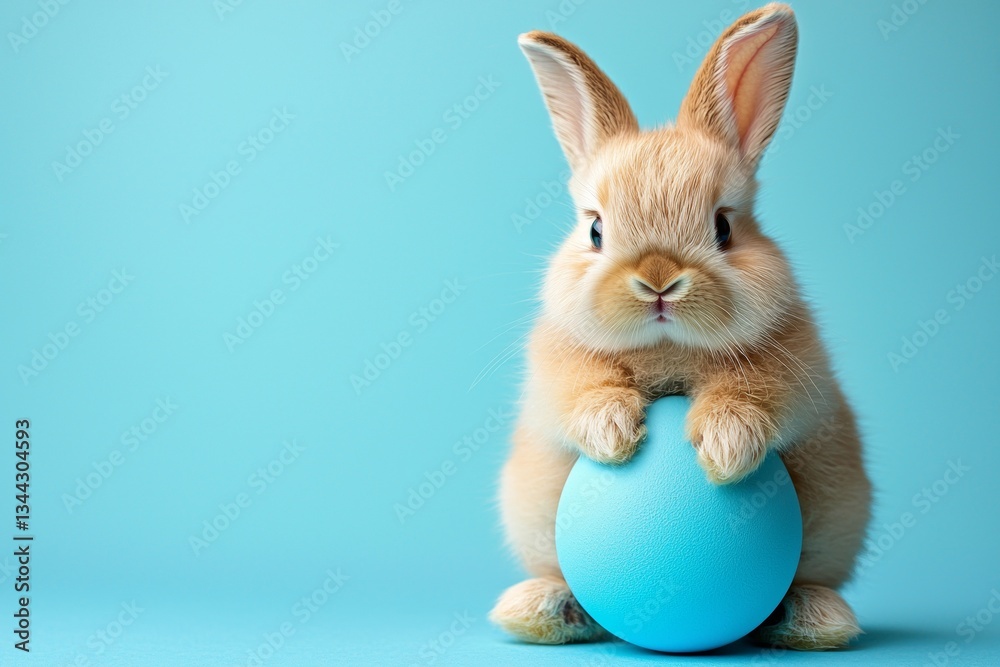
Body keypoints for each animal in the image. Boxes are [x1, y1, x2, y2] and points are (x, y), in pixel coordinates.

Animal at [488, 3, 872, 652]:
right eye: (595, 231)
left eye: (723, 227)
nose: (659, 281)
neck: (668, 350)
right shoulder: (557, 374)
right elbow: (584, 390)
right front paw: (614, 433)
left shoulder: (797, 375)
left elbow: (753, 393)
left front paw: (724, 448)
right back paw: (543, 609)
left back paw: (814, 619)